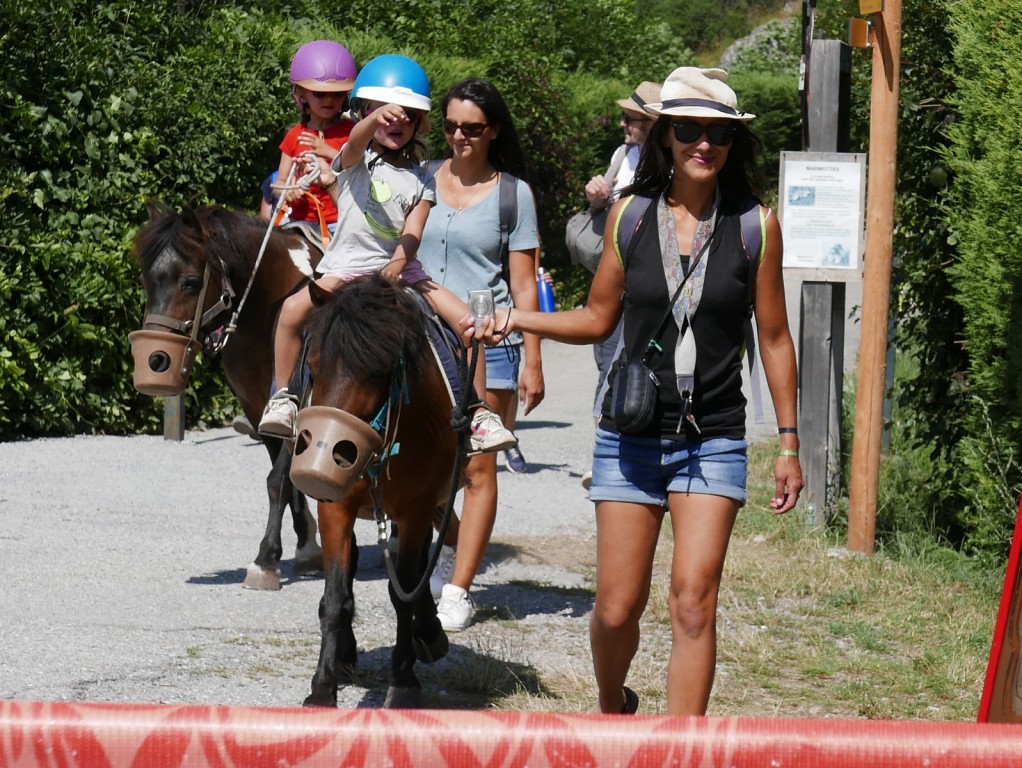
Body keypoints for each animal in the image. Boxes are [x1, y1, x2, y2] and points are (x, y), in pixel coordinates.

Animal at [131, 202, 320, 589]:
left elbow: (278, 480)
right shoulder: (260, 409)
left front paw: (265, 559)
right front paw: (305, 547)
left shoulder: (294, 398)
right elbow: (285, 477)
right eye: (147, 280)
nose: (155, 359)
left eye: (190, 282)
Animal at [294, 274, 466, 707]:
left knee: (415, 572)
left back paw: (428, 634)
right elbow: (336, 597)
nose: (333, 454)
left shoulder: (418, 509)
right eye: (313, 367)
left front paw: (403, 683)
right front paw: (322, 686)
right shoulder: (334, 506)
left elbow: (402, 594)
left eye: (377, 372)